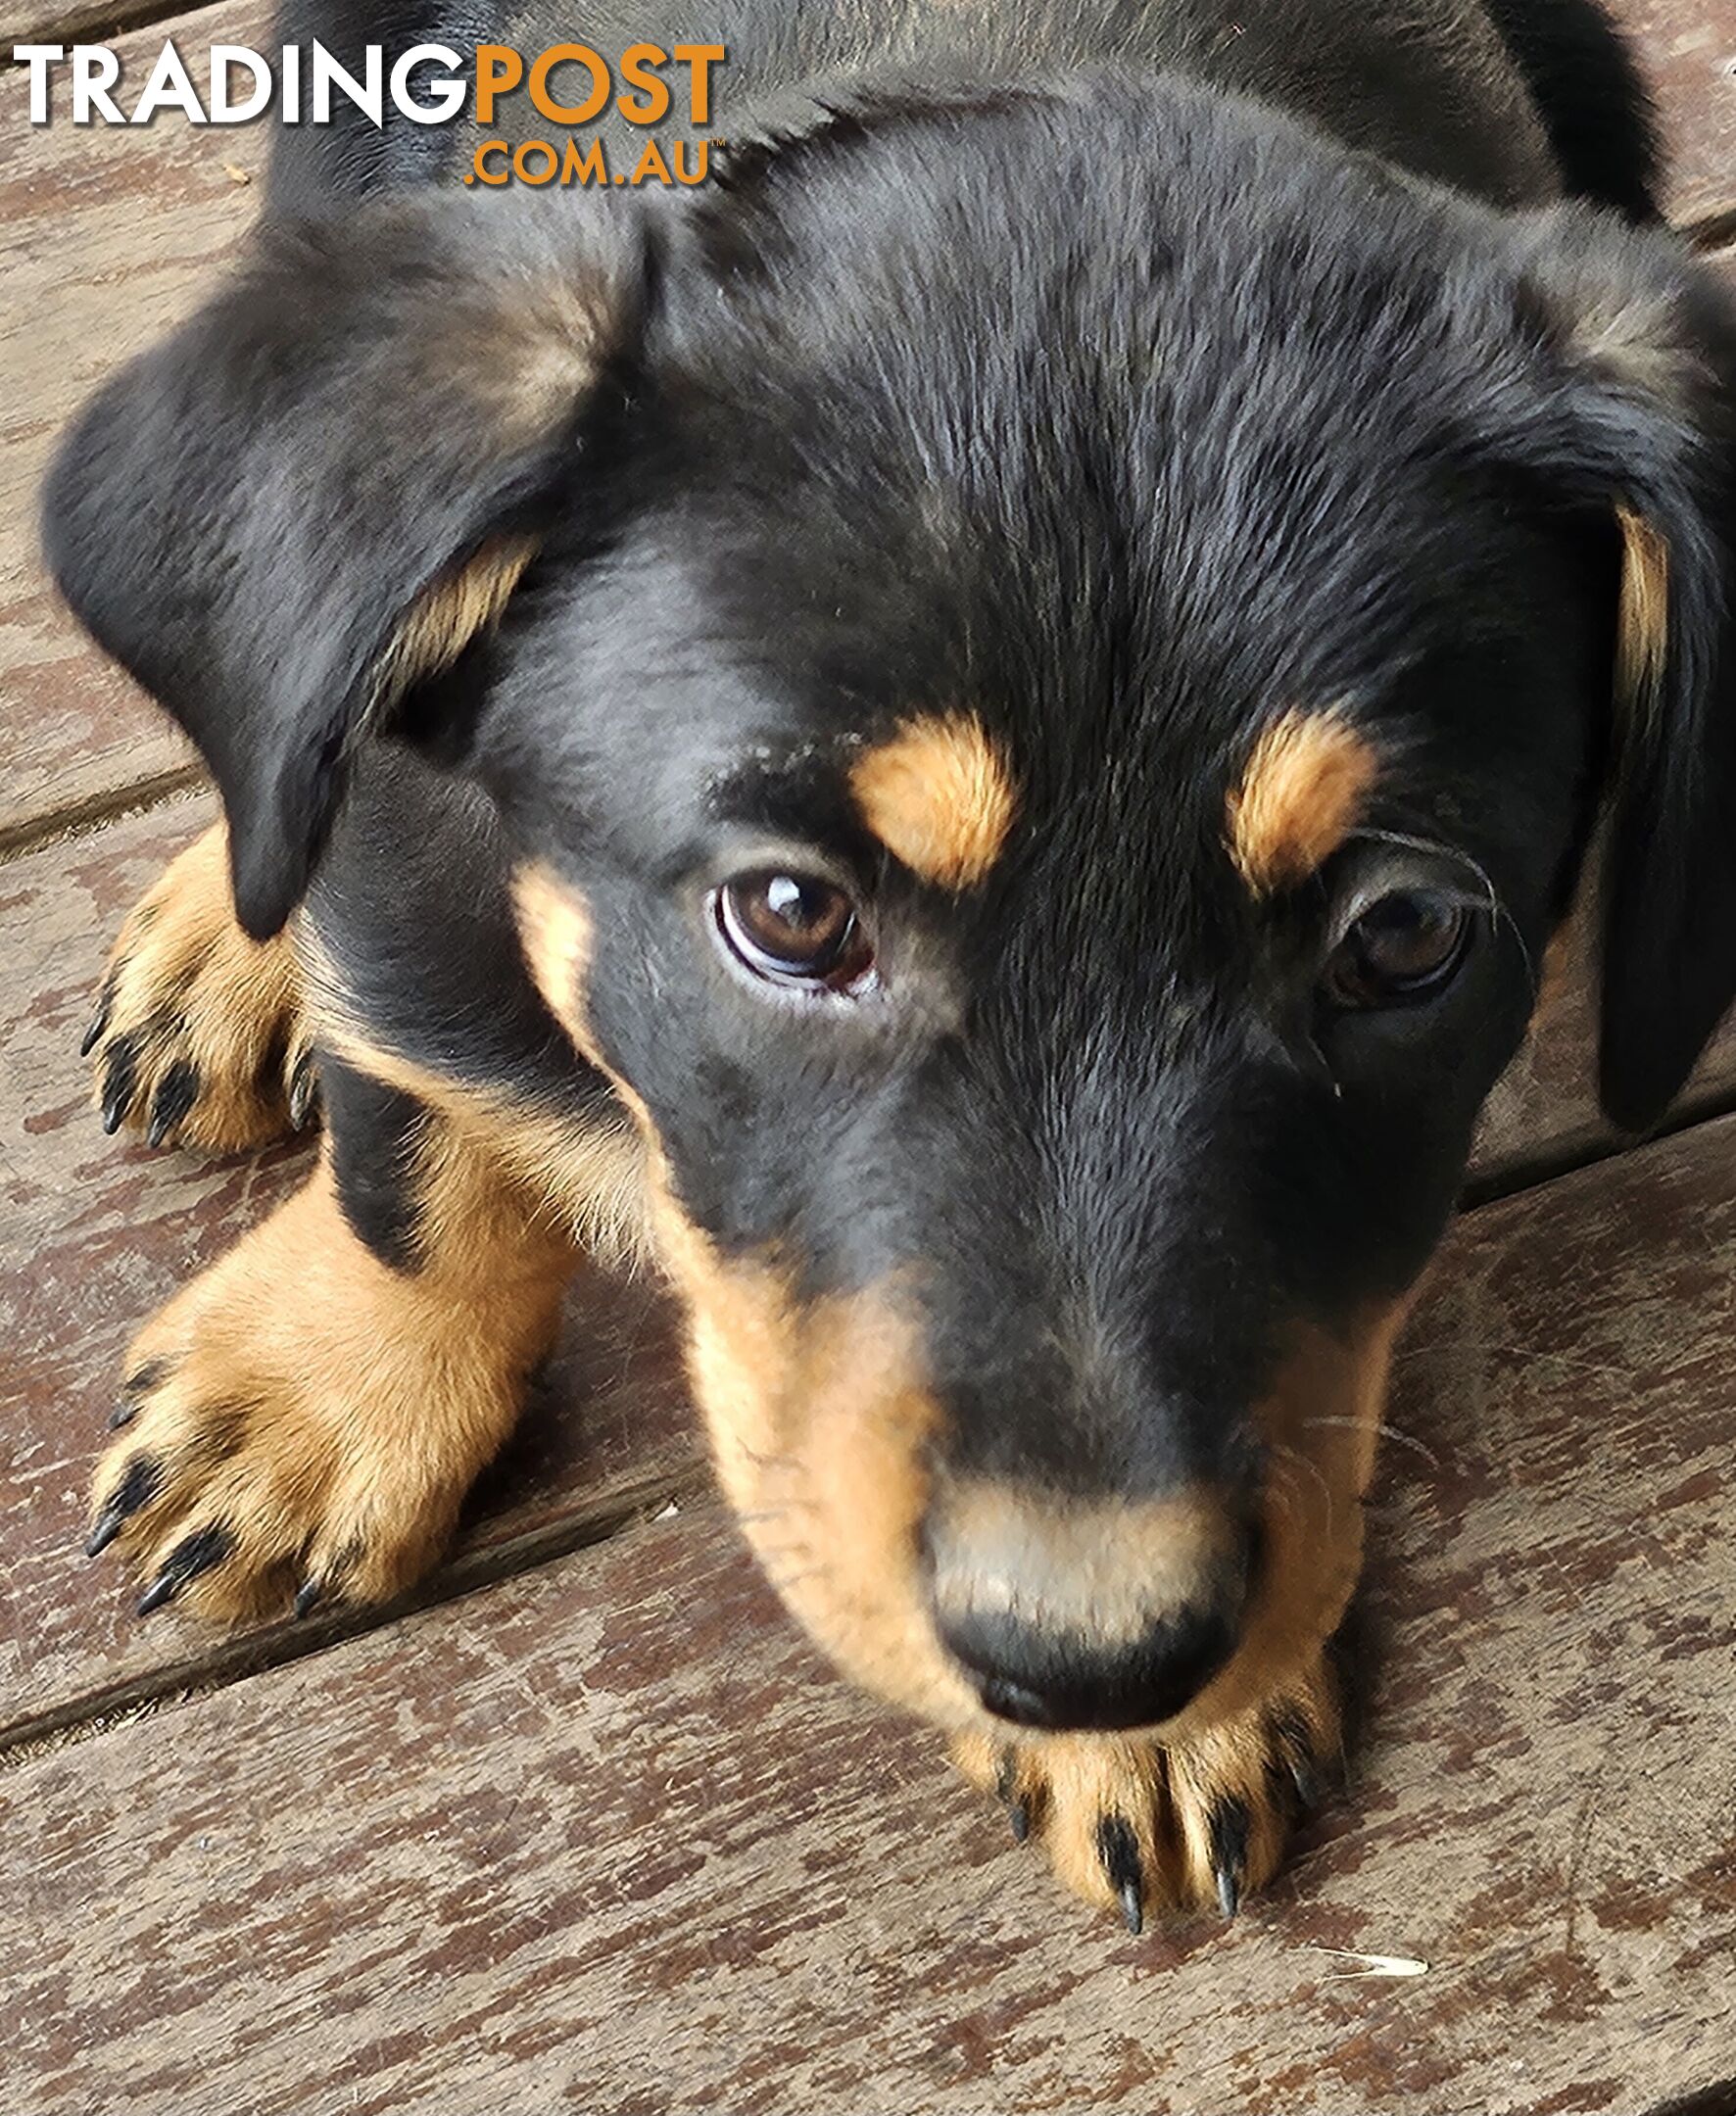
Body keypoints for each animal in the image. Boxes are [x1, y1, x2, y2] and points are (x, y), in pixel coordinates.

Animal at [40, 0, 1736, 1938]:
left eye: (1406, 936)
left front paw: (1158, 1740)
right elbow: (415, 1139)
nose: (1092, 1658)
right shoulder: (397, 891)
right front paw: (335, 1392)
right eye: (789, 915)